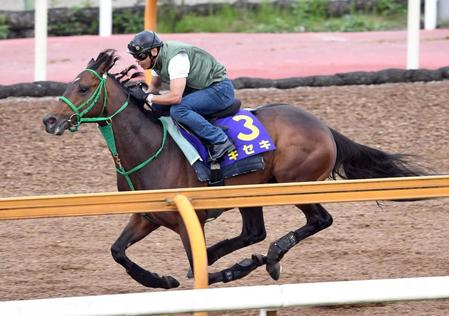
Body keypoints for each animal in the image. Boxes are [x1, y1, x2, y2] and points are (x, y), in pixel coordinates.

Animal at [42, 50, 424, 290]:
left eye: (83, 87)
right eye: (68, 84)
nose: (50, 120)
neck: (151, 148)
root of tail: (323, 127)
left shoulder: (188, 219)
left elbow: (200, 270)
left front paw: (227, 270)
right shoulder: (147, 215)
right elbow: (118, 251)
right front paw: (161, 279)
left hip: (294, 182)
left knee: (319, 220)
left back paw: (271, 257)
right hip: (251, 191)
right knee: (254, 232)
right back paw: (243, 258)